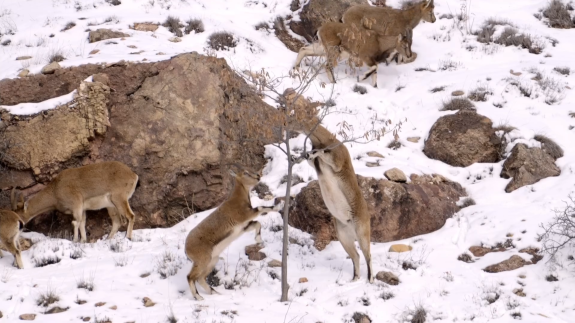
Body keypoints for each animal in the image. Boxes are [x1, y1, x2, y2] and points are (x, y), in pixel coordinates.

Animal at [11, 161, 140, 243]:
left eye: (19, 216)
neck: (55, 190)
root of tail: (133, 175)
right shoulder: (82, 209)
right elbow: (82, 222)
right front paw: (82, 240)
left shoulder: (76, 205)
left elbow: (75, 222)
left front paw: (75, 240)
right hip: (111, 206)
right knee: (117, 221)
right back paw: (108, 239)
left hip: (119, 199)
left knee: (130, 216)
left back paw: (128, 237)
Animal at [184, 167, 282, 302]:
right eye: (245, 173)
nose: (258, 176)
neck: (238, 199)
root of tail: (186, 248)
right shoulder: (245, 214)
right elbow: (261, 208)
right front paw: (278, 206)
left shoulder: (244, 227)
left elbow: (257, 224)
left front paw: (258, 240)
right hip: (202, 260)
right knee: (190, 277)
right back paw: (199, 297)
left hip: (212, 260)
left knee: (200, 278)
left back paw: (215, 293)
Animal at [294, 119, 376, 284]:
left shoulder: (337, 162)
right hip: (344, 238)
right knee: (356, 256)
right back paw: (354, 279)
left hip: (362, 234)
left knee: (367, 255)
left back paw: (370, 279)